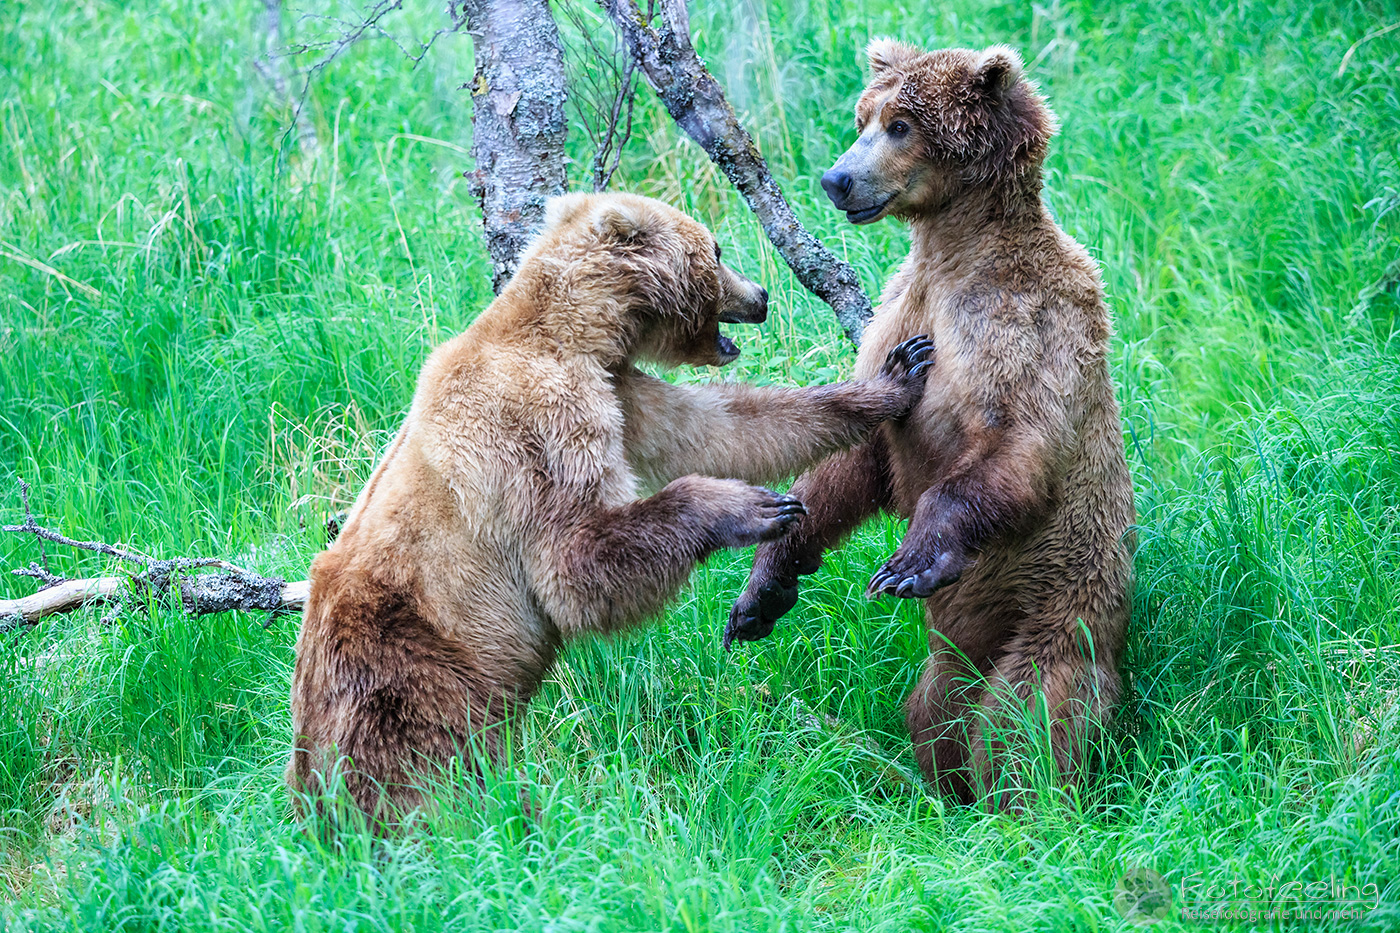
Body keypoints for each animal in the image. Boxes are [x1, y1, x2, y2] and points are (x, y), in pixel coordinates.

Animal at [287, 191, 933, 822]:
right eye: (717, 250)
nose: (761, 294)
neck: (572, 335)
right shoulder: (538, 421)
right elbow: (575, 561)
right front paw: (756, 507)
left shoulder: (621, 390)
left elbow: (725, 428)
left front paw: (895, 373)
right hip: (418, 675)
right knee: (437, 778)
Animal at [725, 42, 1136, 807]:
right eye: (863, 116)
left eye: (901, 125)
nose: (836, 179)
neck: (953, 252)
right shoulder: (902, 312)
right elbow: (857, 458)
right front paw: (762, 592)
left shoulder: (1023, 322)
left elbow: (1015, 444)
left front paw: (911, 559)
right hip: (959, 650)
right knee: (937, 704)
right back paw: (944, 788)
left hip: (1061, 600)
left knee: (1028, 712)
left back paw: (1022, 800)